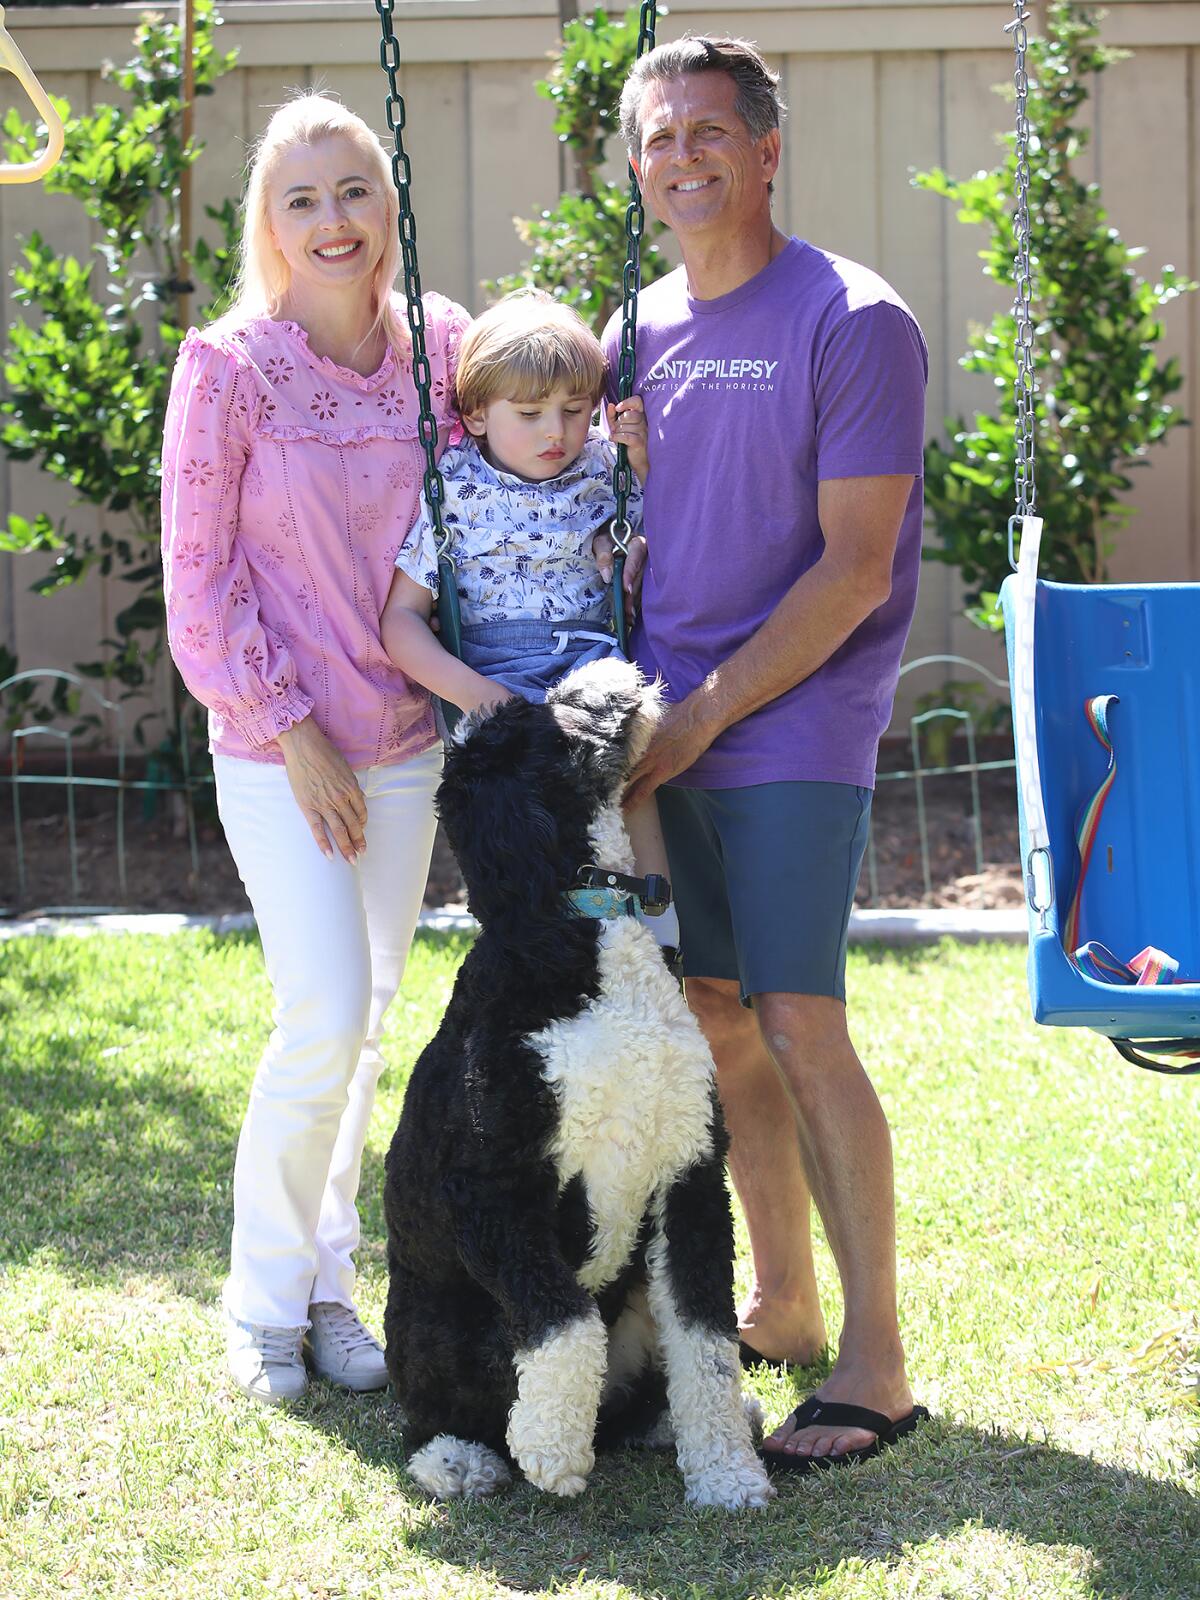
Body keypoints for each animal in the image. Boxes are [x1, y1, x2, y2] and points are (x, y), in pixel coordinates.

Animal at [390, 656, 774, 1504]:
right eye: (543, 719)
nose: (602, 667)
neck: (581, 925)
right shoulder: (491, 1189)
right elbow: (563, 1319)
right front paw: (550, 1449)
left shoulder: (692, 1172)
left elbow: (707, 1340)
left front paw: (728, 1477)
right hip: (440, 1320)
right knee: (432, 1404)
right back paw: (458, 1458)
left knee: (637, 1390)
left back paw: (665, 1425)